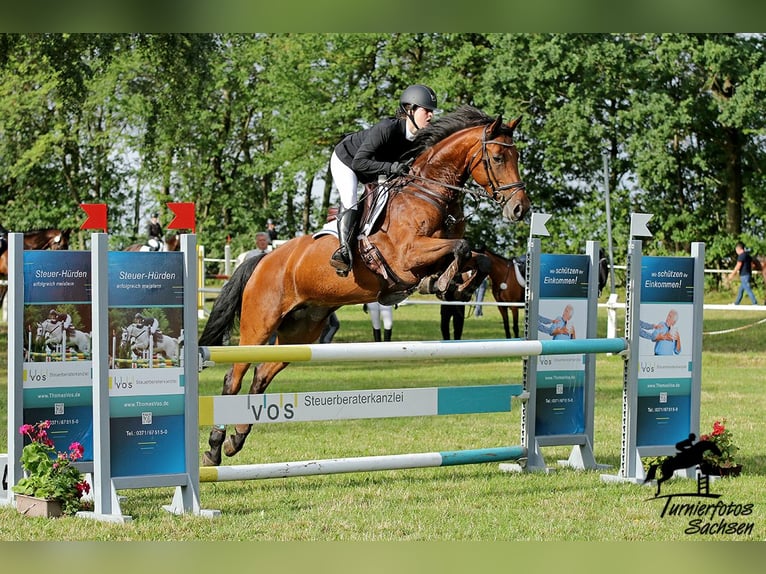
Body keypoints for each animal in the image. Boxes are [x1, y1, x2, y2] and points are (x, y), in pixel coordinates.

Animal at [198, 105, 530, 466]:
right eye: (498, 157)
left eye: (517, 155)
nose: (520, 208)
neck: (428, 193)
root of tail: (263, 259)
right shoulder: (406, 256)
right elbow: (462, 247)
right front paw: (442, 283)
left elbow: (474, 257)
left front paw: (455, 288)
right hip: (259, 325)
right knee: (234, 377)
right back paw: (214, 448)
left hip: (300, 332)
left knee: (261, 376)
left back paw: (236, 439)